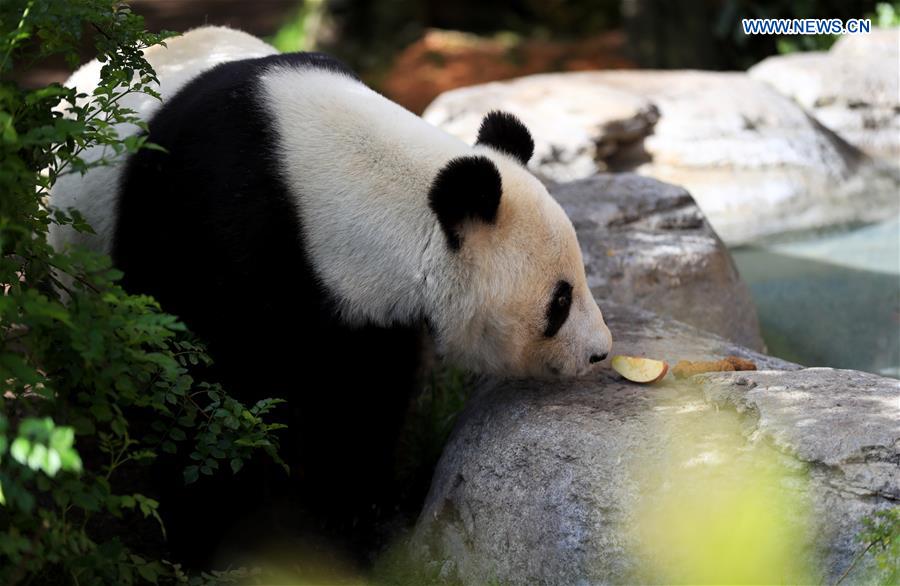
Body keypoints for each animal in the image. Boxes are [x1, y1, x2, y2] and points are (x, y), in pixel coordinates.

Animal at [47, 27, 612, 564]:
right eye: (559, 302)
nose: (599, 352)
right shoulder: (204, 230)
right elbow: (191, 394)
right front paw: (203, 536)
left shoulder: (360, 303)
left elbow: (361, 394)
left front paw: (357, 512)